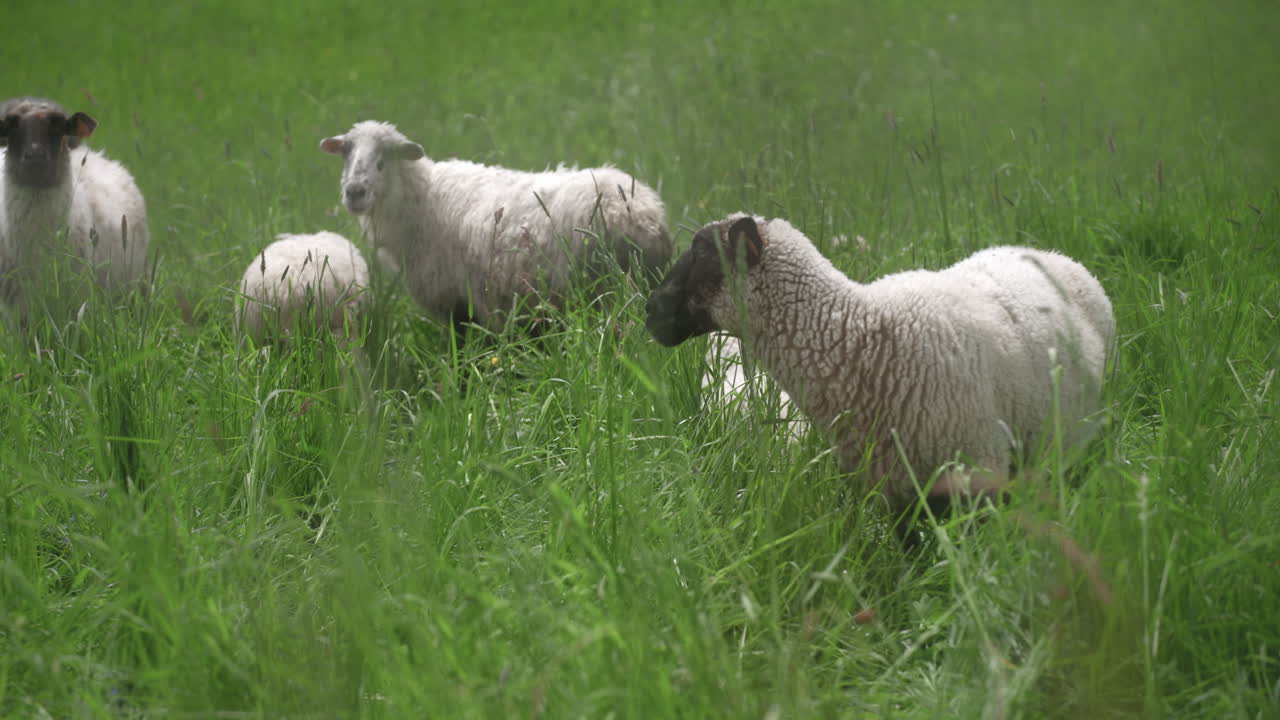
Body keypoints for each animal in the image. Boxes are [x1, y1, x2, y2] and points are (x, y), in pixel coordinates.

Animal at [319, 120, 670, 335]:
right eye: (346, 155)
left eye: (383, 160)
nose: (354, 192)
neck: (421, 199)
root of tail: (643, 213)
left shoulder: (458, 304)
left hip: (605, 291)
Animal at [645, 214, 1114, 533]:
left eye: (704, 253)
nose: (650, 310)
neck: (858, 335)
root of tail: (1055, 255)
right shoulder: (891, 490)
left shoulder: (977, 475)